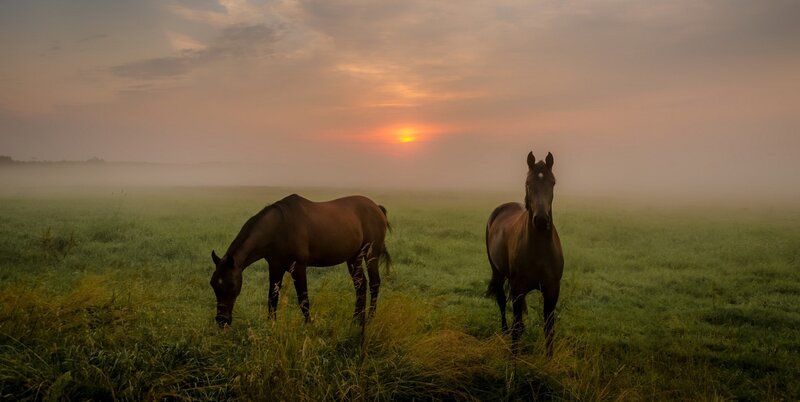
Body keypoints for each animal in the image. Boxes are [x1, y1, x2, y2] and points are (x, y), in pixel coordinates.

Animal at [210, 194, 391, 328]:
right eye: (213, 284)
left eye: (232, 285)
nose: (222, 320)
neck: (279, 227)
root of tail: (377, 207)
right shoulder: (275, 267)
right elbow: (272, 298)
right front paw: (271, 325)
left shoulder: (298, 268)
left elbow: (303, 299)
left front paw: (309, 325)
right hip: (353, 258)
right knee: (361, 285)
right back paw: (356, 320)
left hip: (371, 255)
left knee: (374, 283)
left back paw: (369, 319)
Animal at [485, 151, 564, 355]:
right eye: (528, 183)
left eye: (553, 182)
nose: (541, 220)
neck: (539, 250)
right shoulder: (518, 288)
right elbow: (516, 327)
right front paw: (513, 358)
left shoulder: (552, 289)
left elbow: (549, 329)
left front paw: (549, 358)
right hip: (498, 273)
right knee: (502, 301)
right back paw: (504, 333)